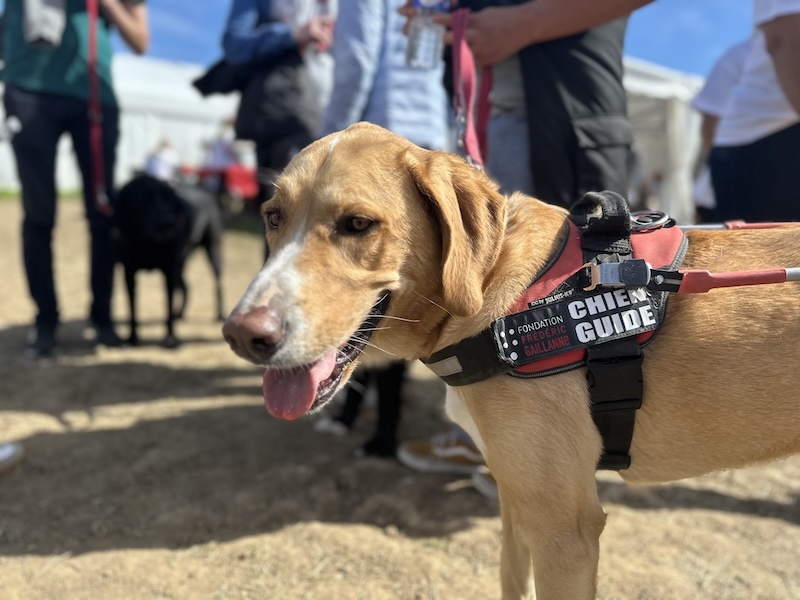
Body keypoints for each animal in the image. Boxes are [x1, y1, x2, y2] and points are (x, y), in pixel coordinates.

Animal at [116, 174, 224, 347]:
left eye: (167, 199)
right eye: (143, 200)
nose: (168, 224)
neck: (147, 245)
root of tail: (205, 191)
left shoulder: (168, 272)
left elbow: (167, 306)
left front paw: (171, 339)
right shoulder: (129, 274)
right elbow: (132, 310)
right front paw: (132, 338)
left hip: (213, 251)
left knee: (218, 283)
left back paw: (220, 315)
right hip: (181, 263)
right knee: (187, 287)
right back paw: (179, 314)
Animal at [221, 123, 800, 599]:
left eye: (358, 223)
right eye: (272, 217)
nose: (242, 334)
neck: (494, 287)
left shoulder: (565, 529)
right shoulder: (517, 501)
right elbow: (509, 580)